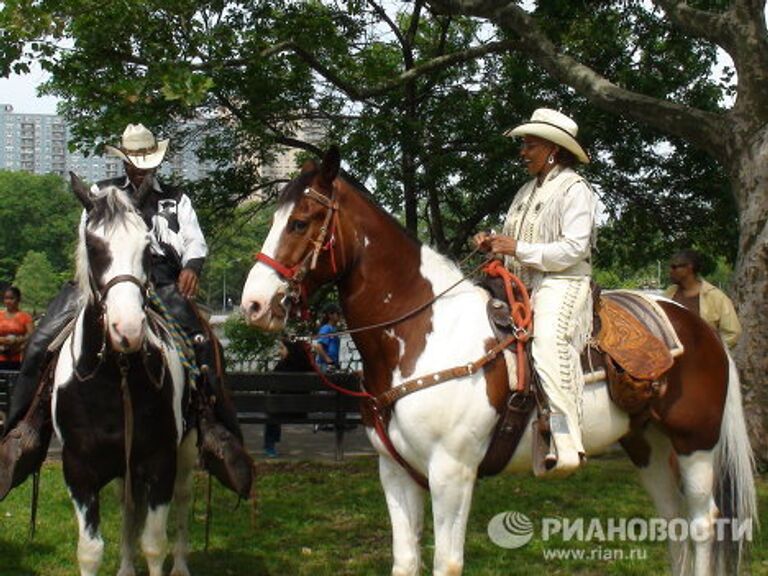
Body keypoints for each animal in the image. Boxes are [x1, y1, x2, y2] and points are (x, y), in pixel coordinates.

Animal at [52, 176, 196, 576]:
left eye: (147, 245)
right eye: (92, 244)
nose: (127, 329)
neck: (112, 379)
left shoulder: (161, 461)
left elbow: (155, 545)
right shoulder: (79, 468)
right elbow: (90, 550)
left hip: (187, 450)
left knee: (183, 498)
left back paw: (181, 564)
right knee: (128, 505)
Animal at [243, 148, 760, 576]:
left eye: (301, 221)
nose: (253, 305)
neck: (421, 333)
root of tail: (701, 328)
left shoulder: (451, 472)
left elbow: (446, 563)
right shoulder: (395, 472)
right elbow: (405, 562)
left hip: (695, 445)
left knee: (701, 523)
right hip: (645, 443)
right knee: (673, 522)